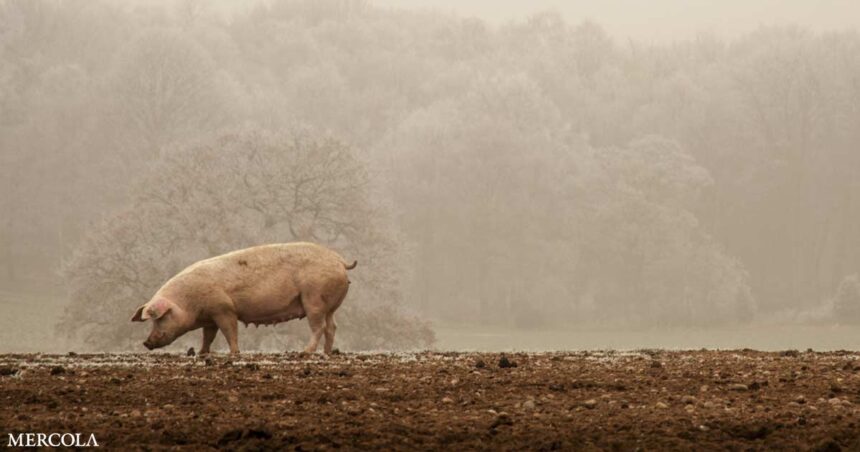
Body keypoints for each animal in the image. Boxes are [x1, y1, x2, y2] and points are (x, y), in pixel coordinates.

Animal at [128, 242, 356, 354]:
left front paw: (234, 354)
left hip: (313, 298)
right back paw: (327, 353)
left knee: (319, 327)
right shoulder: (210, 317)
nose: (146, 342)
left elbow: (230, 331)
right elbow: (208, 336)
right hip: (329, 305)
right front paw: (201, 354)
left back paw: (304, 353)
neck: (189, 303)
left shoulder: (223, 309)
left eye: (159, 319)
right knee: (332, 327)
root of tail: (339, 260)